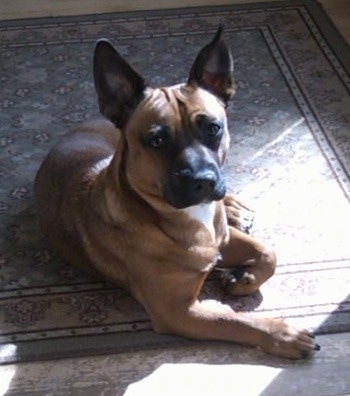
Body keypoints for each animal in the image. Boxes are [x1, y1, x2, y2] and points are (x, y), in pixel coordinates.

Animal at [35, 26, 320, 358]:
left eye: (214, 128)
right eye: (156, 141)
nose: (203, 181)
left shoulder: (221, 239)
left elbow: (268, 252)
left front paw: (244, 276)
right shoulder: (178, 312)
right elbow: (234, 320)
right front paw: (282, 333)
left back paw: (234, 209)